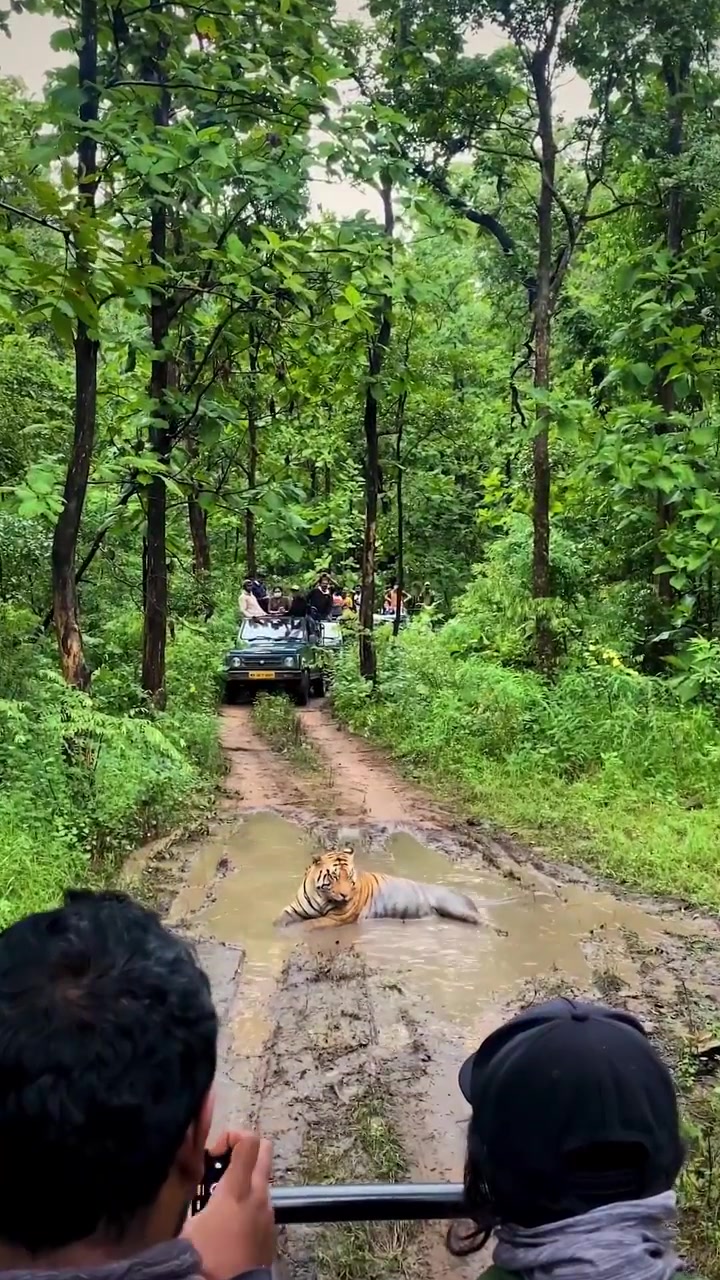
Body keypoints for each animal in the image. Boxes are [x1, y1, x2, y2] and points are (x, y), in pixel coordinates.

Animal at [275, 847, 479, 927]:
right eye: (334, 876)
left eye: (350, 877)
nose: (345, 895)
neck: (321, 896)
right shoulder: (294, 909)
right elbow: (279, 921)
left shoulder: (337, 918)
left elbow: (308, 926)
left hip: (456, 907)